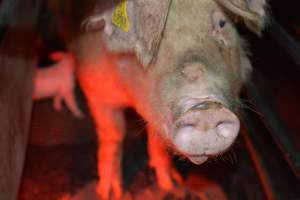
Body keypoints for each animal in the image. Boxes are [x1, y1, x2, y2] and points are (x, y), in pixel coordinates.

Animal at [35, 0, 268, 198]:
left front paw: (171, 185)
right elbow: (113, 135)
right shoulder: (95, 89)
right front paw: (109, 193)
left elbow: (156, 139)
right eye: (158, 35)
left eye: (221, 23)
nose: (205, 110)